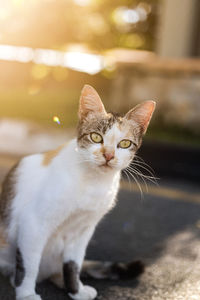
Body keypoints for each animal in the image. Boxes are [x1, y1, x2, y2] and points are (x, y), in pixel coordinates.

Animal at [0, 84, 155, 300]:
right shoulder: (34, 224)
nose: (108, 155)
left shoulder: (83, 231)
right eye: (96, 137)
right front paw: (26, 294)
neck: (93, 183)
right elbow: (29, 264)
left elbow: (73, 264)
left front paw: (75, 290)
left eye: (124, 143)